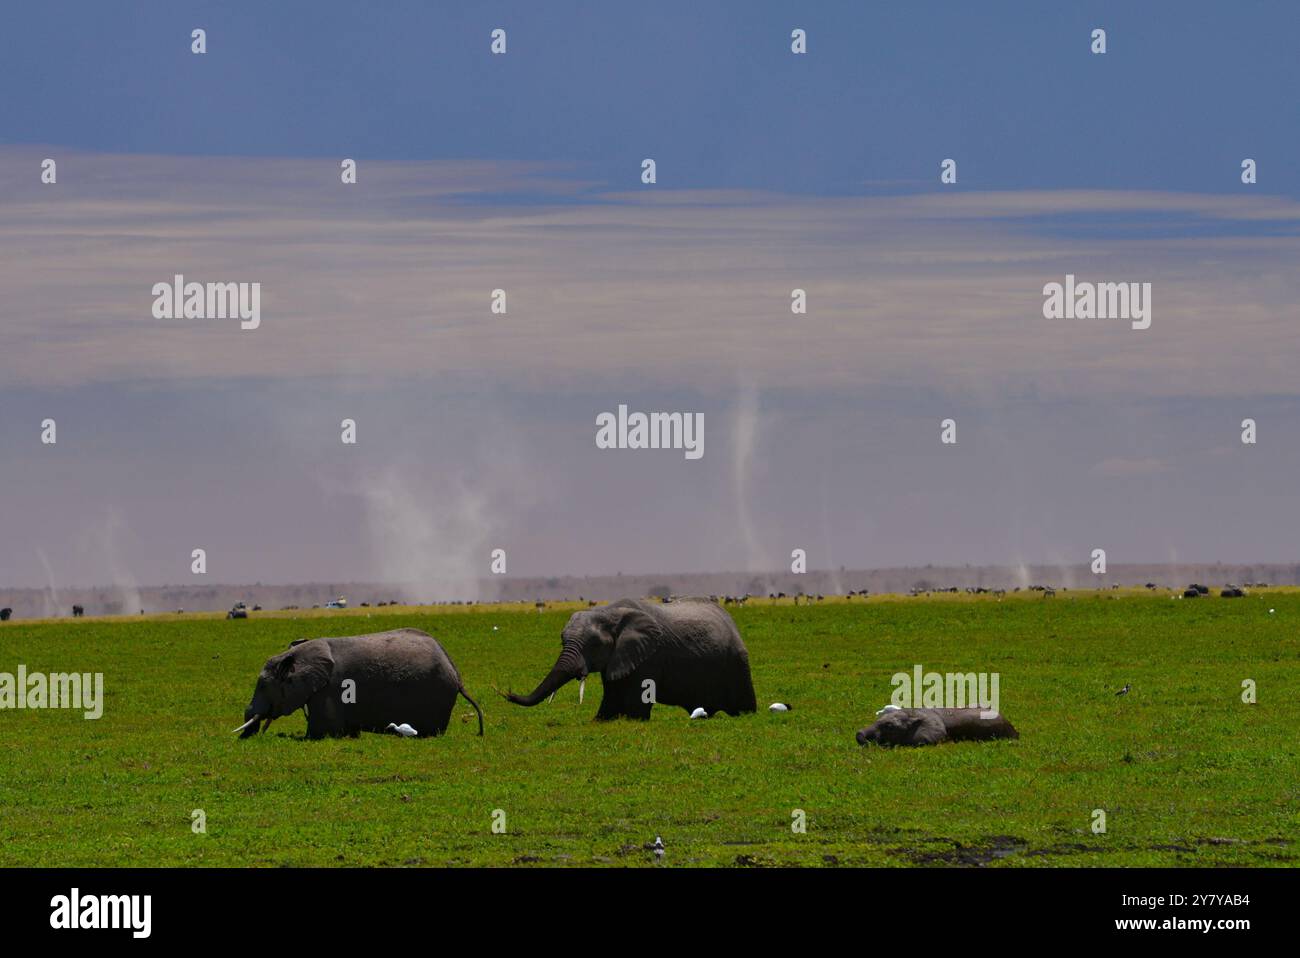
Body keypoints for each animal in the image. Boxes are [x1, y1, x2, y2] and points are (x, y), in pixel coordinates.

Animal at [501, 595, 759, 722]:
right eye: (563, 641)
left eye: (594, 644)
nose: (508, 693)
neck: (608, 612)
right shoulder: (618, 658)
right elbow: (611, 695)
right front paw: (600, 721)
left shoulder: (650, 655)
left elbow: (639, 697)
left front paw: (634, 721)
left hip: (736, 661)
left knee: (743, 704)